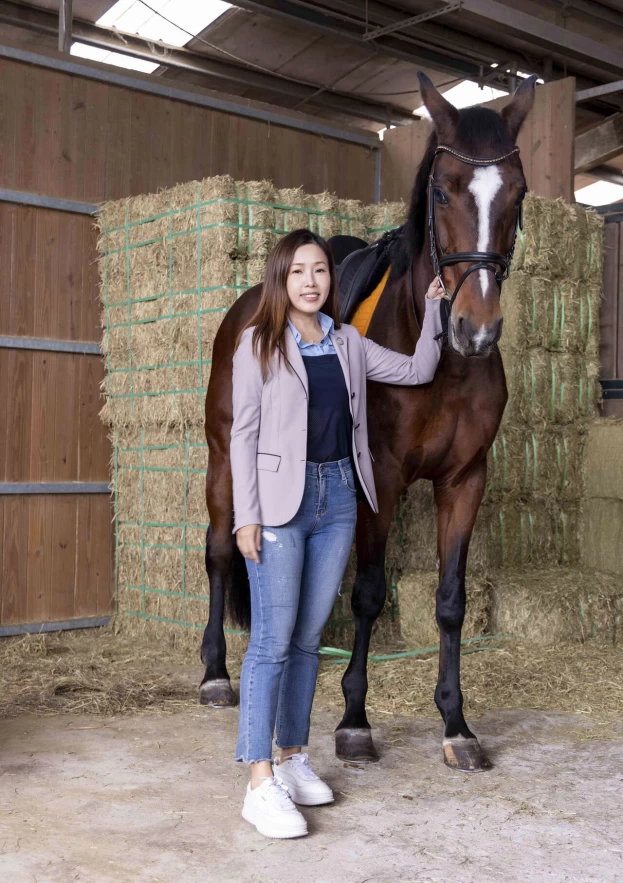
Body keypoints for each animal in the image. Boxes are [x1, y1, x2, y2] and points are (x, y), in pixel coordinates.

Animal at [198, 72, 536, 772]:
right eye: (442, 190)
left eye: (517, 194)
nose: (476, 328)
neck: (442, 366)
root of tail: (250, 302)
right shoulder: (378, 476)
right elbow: (371, 593)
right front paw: (355, 718)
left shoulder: (466, 481)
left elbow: (450, 600)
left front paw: (456, 724)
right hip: (224, 460)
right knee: (220, 551)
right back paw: (215, 673)